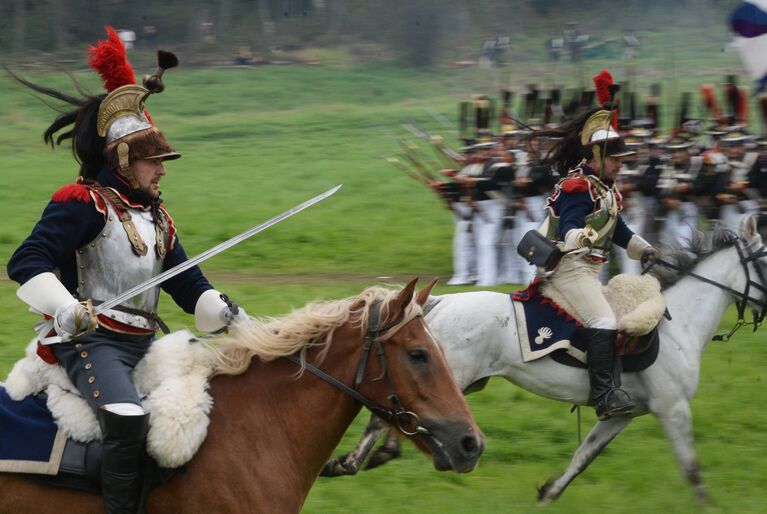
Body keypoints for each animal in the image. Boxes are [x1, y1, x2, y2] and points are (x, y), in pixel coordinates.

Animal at [322, 214, 767, 502]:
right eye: (764, 259)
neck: (678, 323)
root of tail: (441, 304)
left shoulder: (621, 415)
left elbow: (583, 456)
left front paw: (548, 492)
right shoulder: (673, 409)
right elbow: (692, 472)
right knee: (386, 418)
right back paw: (354, 461)